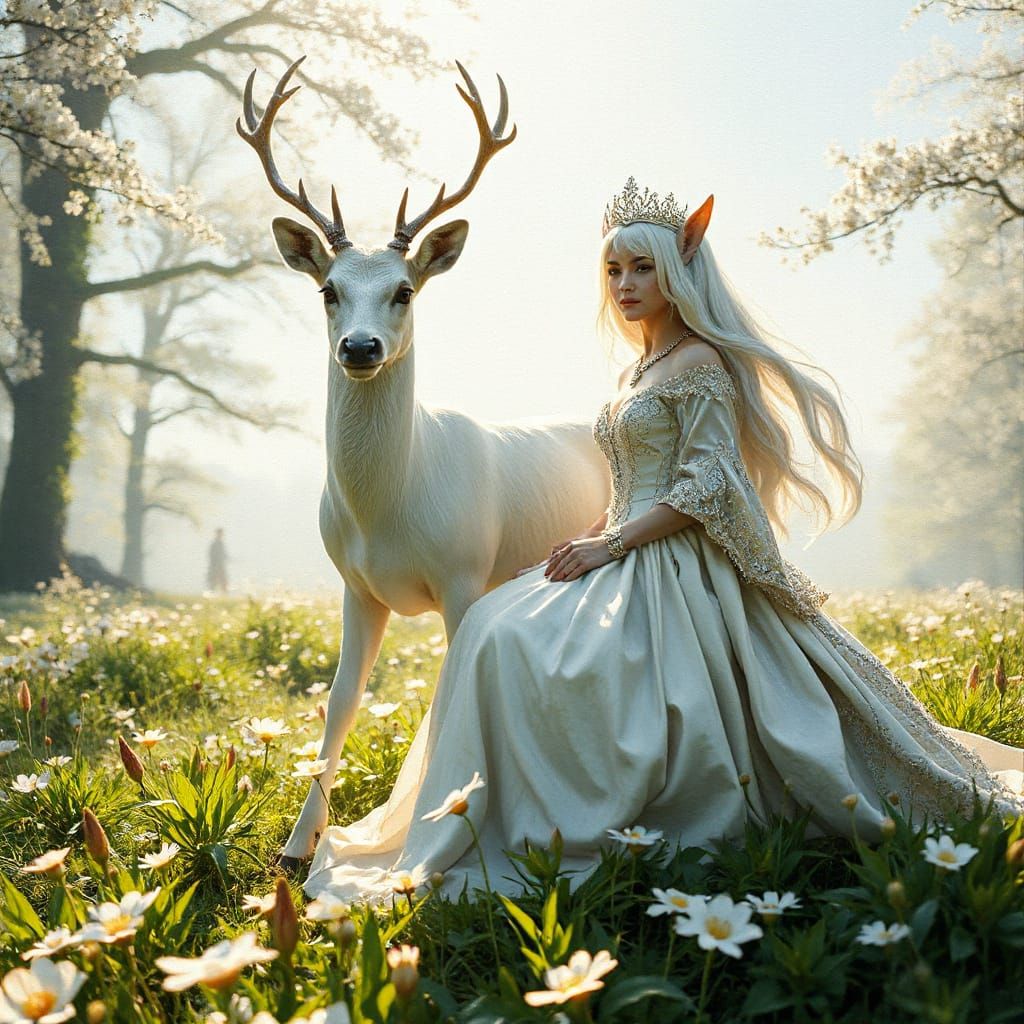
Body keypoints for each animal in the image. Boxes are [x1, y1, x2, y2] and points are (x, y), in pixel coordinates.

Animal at [237, 57, 611, 868]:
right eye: (328, 290)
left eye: (405, 290)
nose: (360, 347)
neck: (389, 510)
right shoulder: (355, 585)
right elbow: (339, 703)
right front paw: (296, 847)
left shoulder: (465, 573)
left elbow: (449, 692)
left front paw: (430, 831)